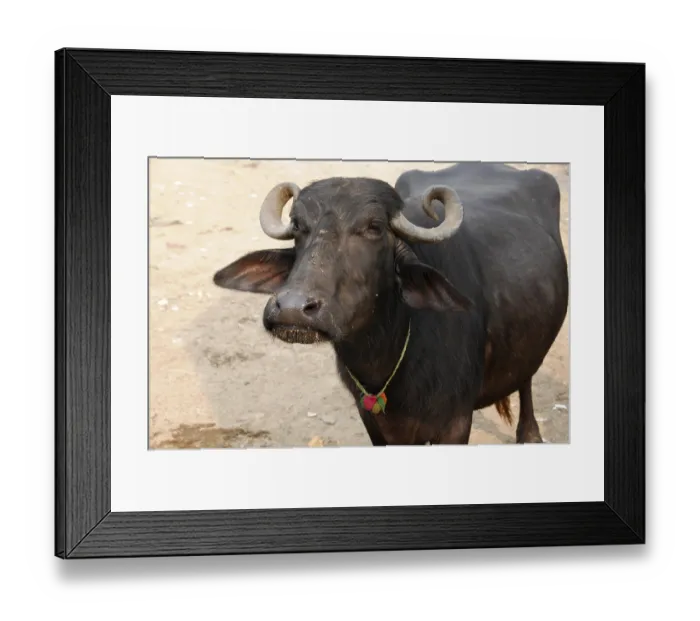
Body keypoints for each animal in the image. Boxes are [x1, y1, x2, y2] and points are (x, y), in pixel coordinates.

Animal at [213, 162, 569, 446]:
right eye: (299, 226)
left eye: (374, 227)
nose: (291, 308)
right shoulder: (373, 421)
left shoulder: (456, 424)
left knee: (526, 379)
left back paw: (530, 434)